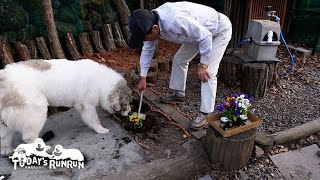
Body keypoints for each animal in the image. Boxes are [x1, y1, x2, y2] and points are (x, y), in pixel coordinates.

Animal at [0, 59, 132, 156]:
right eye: (125, 104)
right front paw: (101, 130)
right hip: (36, 110)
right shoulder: (86, 105)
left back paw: (7, 151)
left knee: (4, 139)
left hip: (6, 121)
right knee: (28, 137)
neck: (100, 81)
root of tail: (4, 80)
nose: (130, 113)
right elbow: (93, 119)